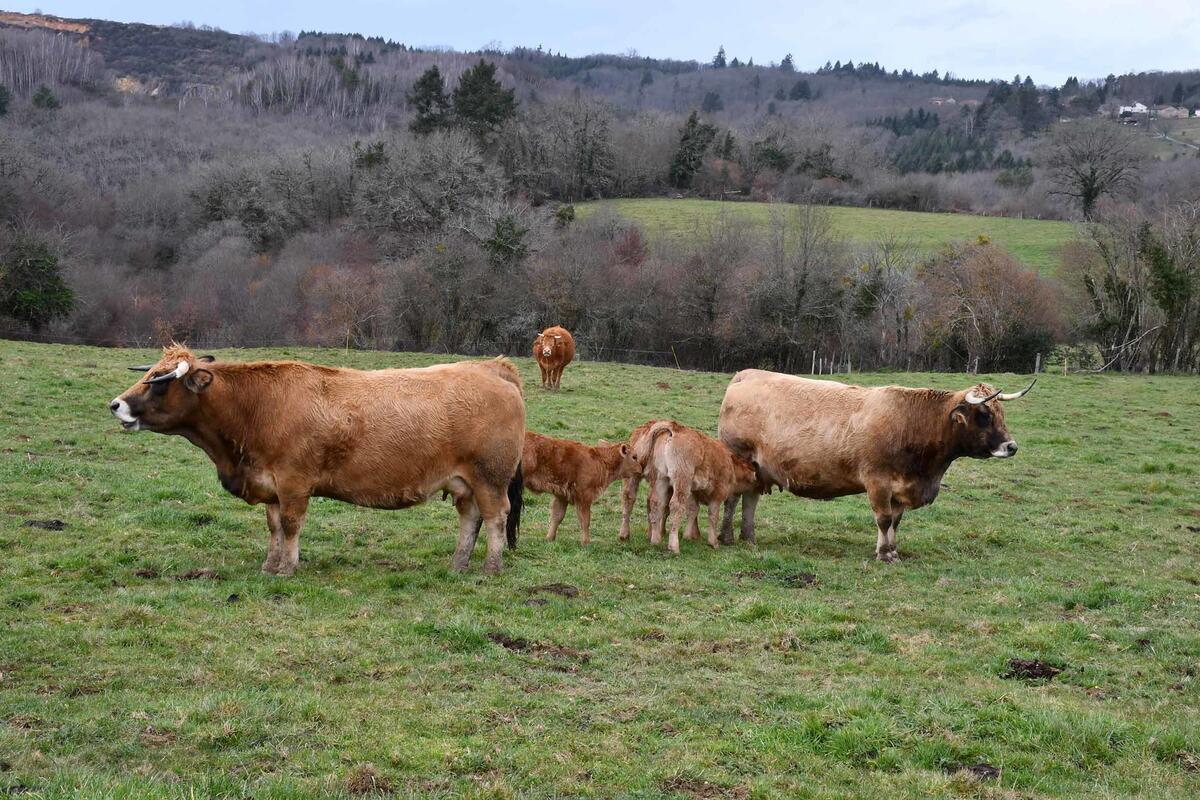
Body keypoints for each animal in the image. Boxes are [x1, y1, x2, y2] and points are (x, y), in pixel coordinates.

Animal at [111, 345, 525, 575]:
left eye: (160, 383)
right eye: (150, 374)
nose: (116, 404)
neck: (256, 407)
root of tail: (490, 367)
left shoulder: (294, 483)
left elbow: (291, 525)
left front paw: (288, 568)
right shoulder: (271, 485)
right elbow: (274, 527)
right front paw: (270, 565)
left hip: (490, 478)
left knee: (495, 518)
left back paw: (490, 568)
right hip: (464, 483)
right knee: (470, 520)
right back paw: (458, 565)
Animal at [715, 371, 1036, 563]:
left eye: (1001, 413)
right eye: (984, 414)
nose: (1012, 446)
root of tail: (747, 375)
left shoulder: (902, 488)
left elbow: (895, 521)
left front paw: (892, 550)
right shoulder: (878, 482)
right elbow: (883, 519)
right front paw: (883, 555)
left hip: (758, 468)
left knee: (750, 500)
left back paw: (749, 537)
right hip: (739, 459)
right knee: (733, 499)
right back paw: (728, 537)